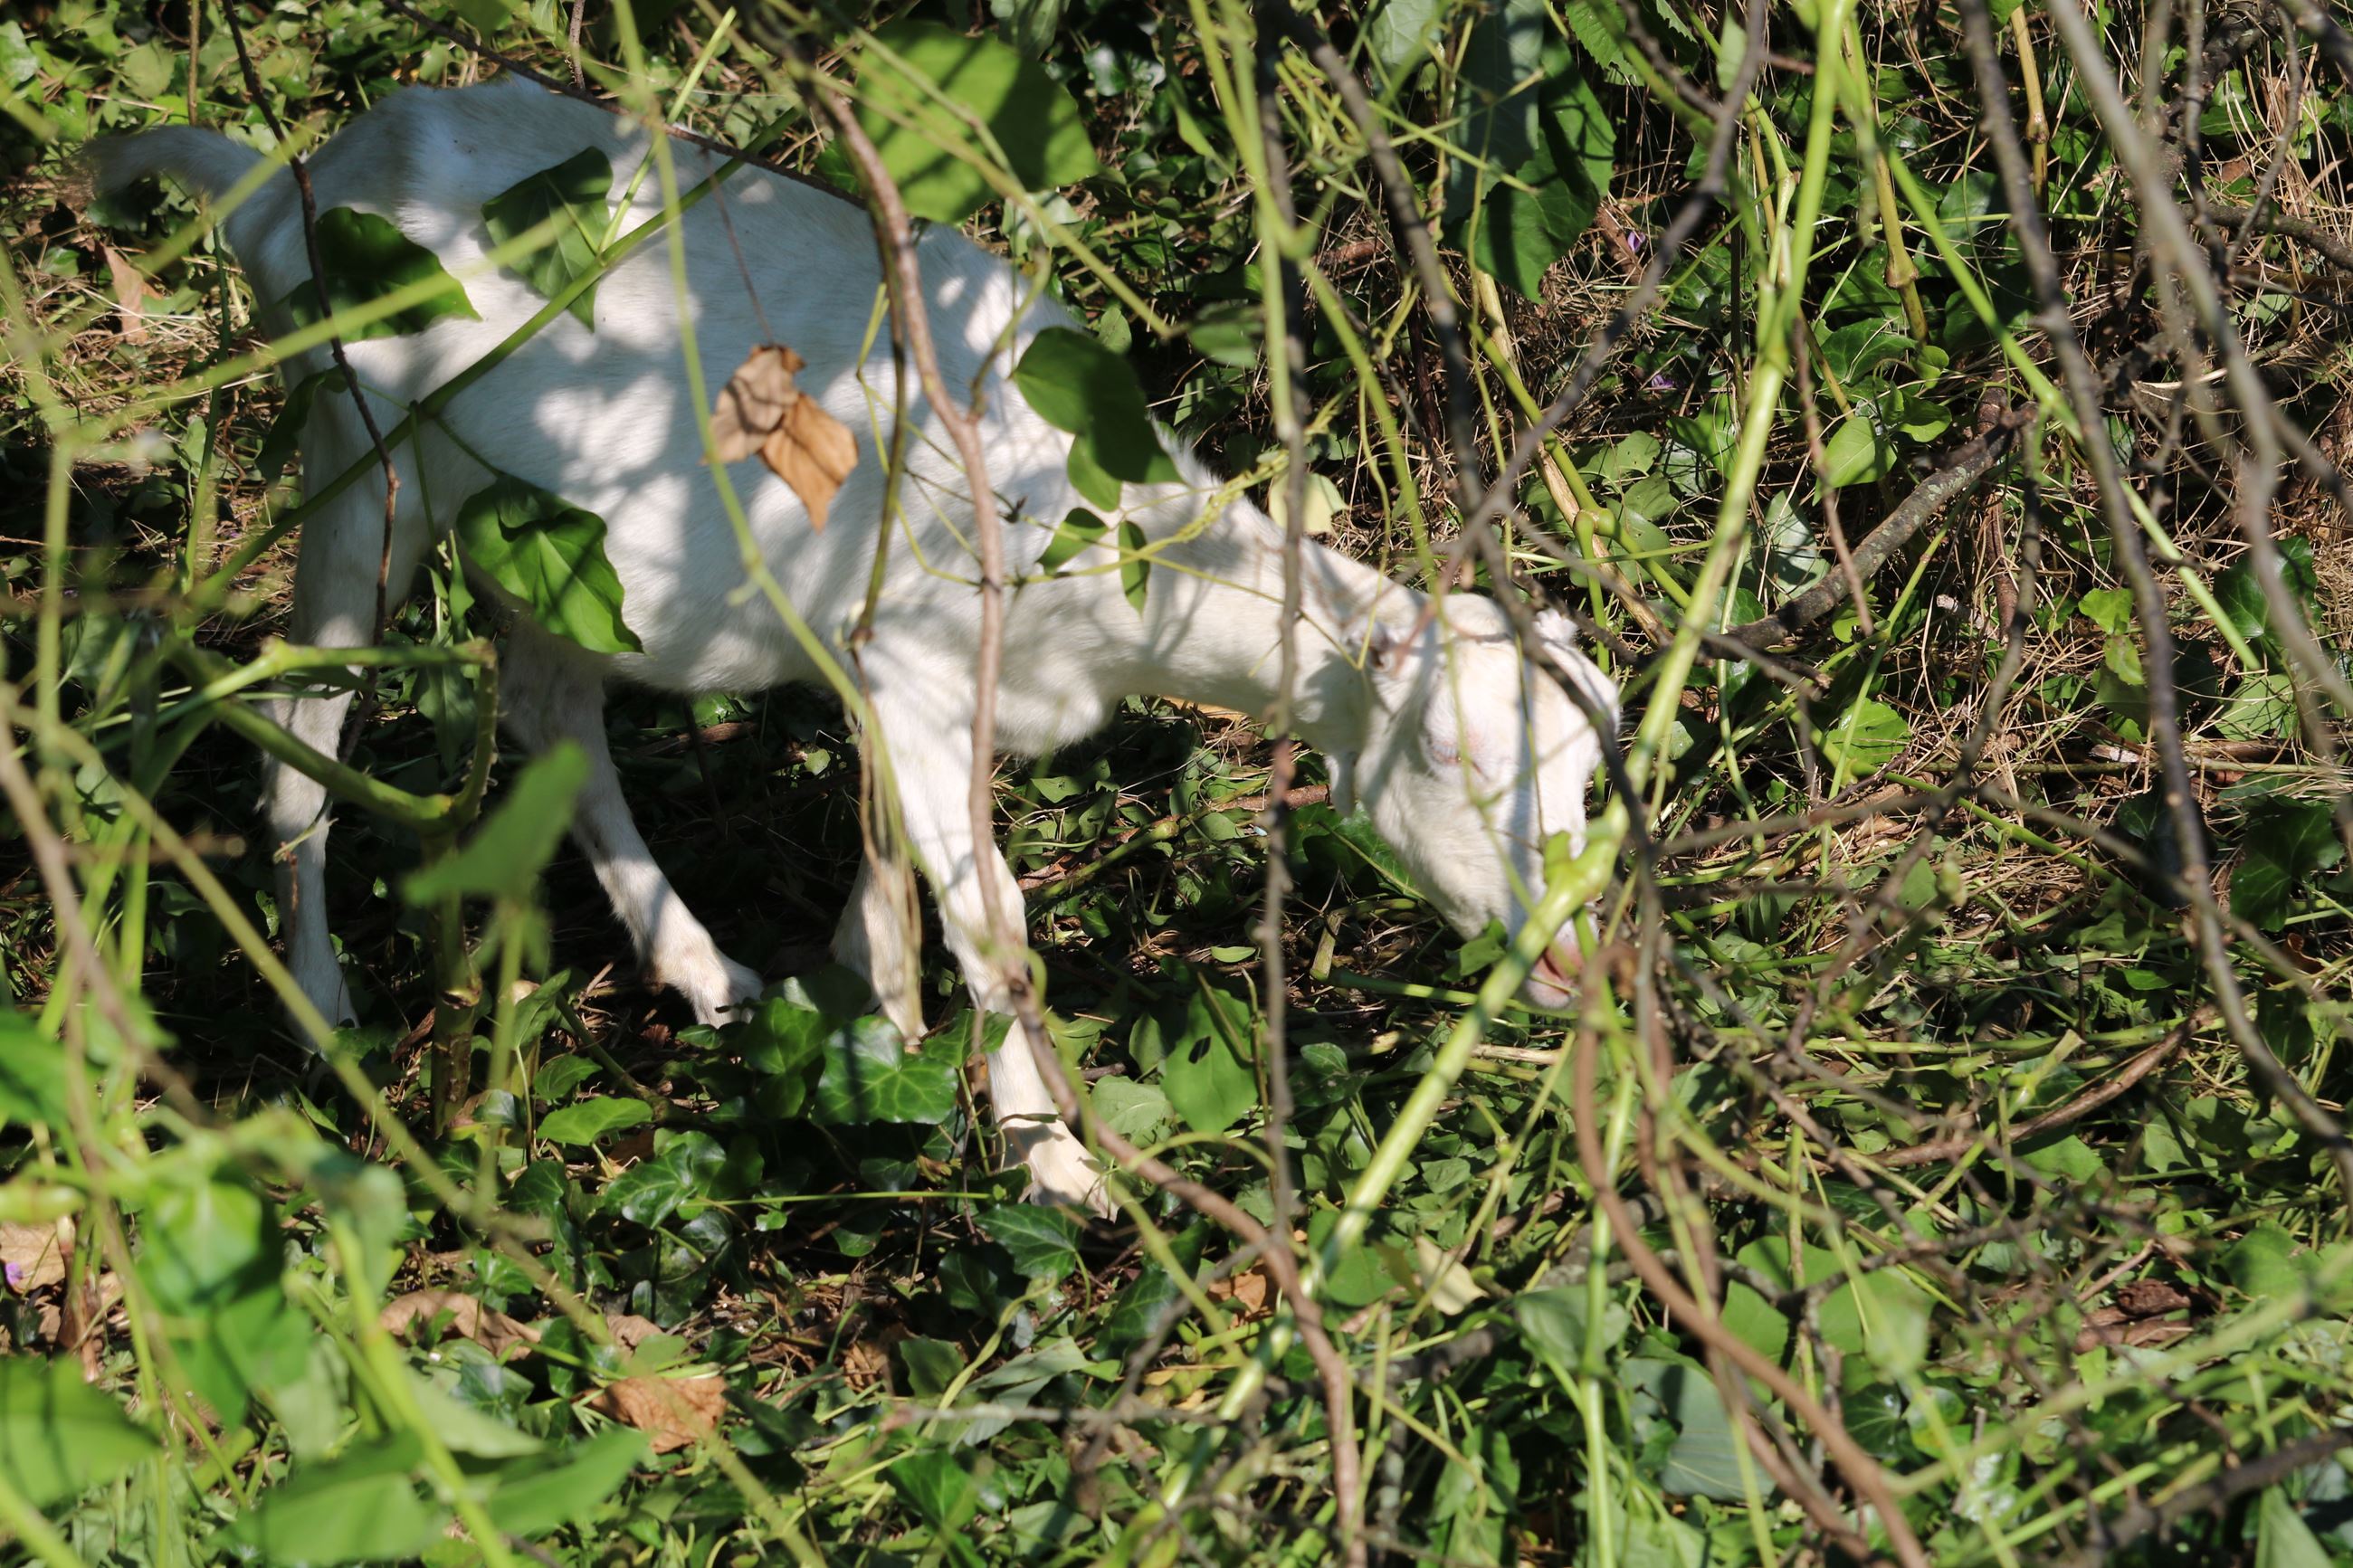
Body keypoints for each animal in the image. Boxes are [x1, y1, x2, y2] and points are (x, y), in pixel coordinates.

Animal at [96, 76, 1618, 1208]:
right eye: (1452, 757)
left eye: (1590, 776)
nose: (1565, 954)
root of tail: (295, 181)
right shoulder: (910, 661)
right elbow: (993, 919)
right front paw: (1051, 1164)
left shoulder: (904, 685)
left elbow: (901, 881)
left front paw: (866, 1016)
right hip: (360, 460)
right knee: (303, 727)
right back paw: (325, 1016)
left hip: (550, 540)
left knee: (548, 704)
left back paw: (704, 971)